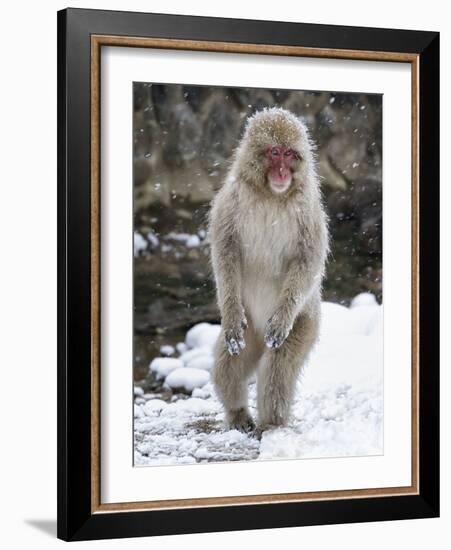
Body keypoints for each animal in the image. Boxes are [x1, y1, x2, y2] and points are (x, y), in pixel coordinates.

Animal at [207, 106, 328, 436]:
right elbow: (225, 251)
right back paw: (237, 413)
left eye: (289, 154)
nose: (283, 172)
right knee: (228, 363)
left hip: (306, 322)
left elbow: (308, 260)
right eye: (274, 152)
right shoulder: (230, 200)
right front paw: (230, 314)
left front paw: (281, 320)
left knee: (278, 366)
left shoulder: (308, 209)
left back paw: (272, 424)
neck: (272, 195)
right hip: (249, 330)